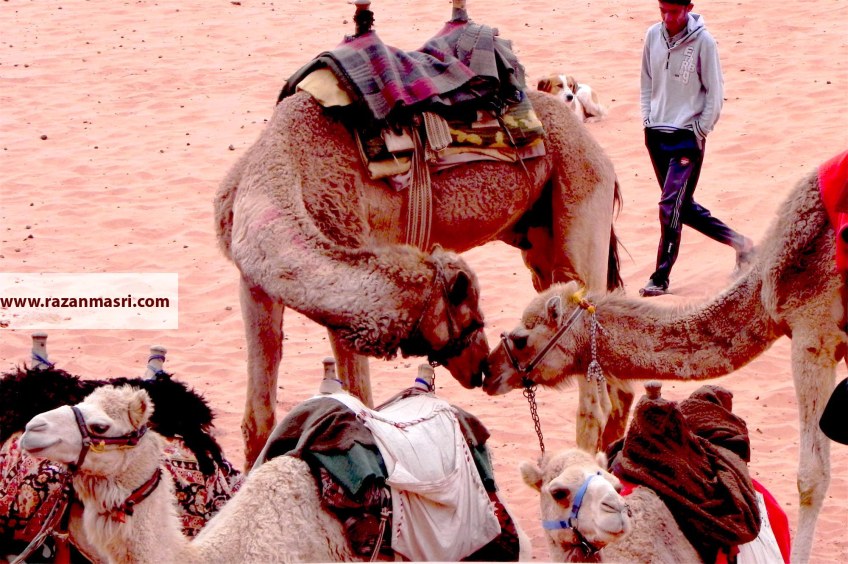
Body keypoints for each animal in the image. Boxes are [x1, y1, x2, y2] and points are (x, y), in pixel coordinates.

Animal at [214, 85, 624, 466]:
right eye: (470, 318)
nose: (481, 368)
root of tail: (595, 147)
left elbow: (361, 402)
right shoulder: (255, 285)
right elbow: (259, 420)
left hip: (579, 198)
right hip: (538, 239)